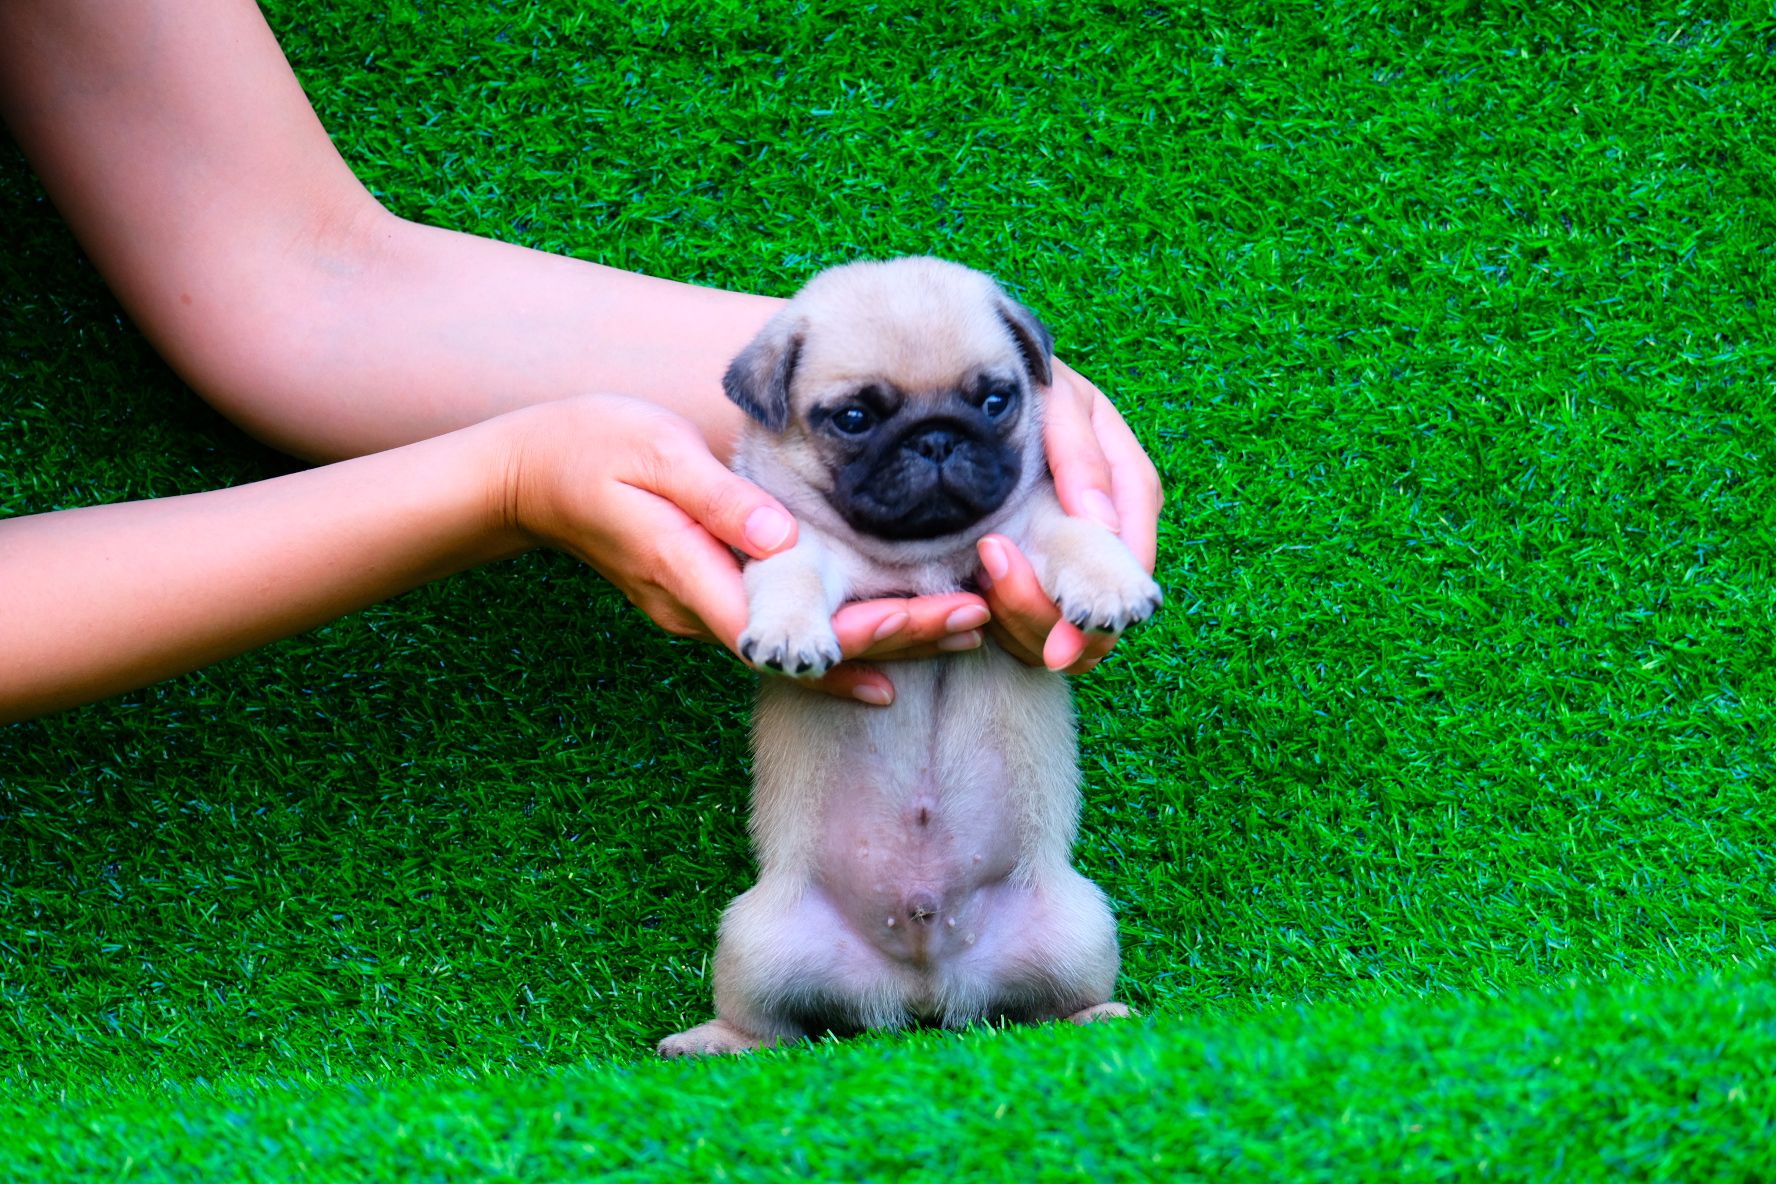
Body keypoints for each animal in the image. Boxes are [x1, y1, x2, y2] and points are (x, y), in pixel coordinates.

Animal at [658, 257, 1160, 1056]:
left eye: (995, 402)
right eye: (855, 419)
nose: (935, 439)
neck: (923, 553)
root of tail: (922, 990)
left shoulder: (1031, 524)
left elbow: (1077, 532)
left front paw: (1110, 581)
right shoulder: (797, 540)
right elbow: (792, 574)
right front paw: (791, 632)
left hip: (1080, 928)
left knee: (1051, 1005)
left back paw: (1096, 1017)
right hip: (754, 941)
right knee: (769, 1028)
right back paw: (716, 1042)